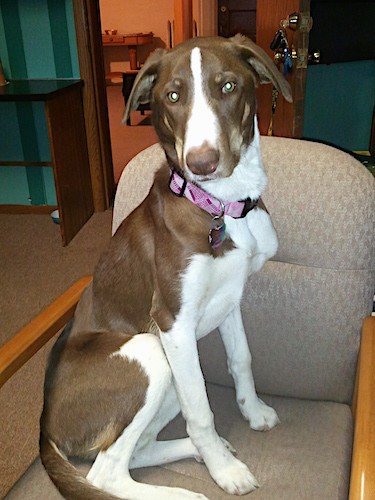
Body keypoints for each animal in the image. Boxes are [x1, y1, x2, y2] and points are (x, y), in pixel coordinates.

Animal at [40, 36, 290, 500]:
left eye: (228, 86)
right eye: (173, 97)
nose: (202, 163)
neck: (218, 206)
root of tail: (45, 427)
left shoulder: (229, 300)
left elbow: (241, 359)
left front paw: (254, 411)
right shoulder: (173, 322)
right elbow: (202, 411)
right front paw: (225, 471)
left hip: (168, 376)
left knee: (137, 452)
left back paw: (198, 451)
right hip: (151, 353)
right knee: (104, 473)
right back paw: (189, 486)